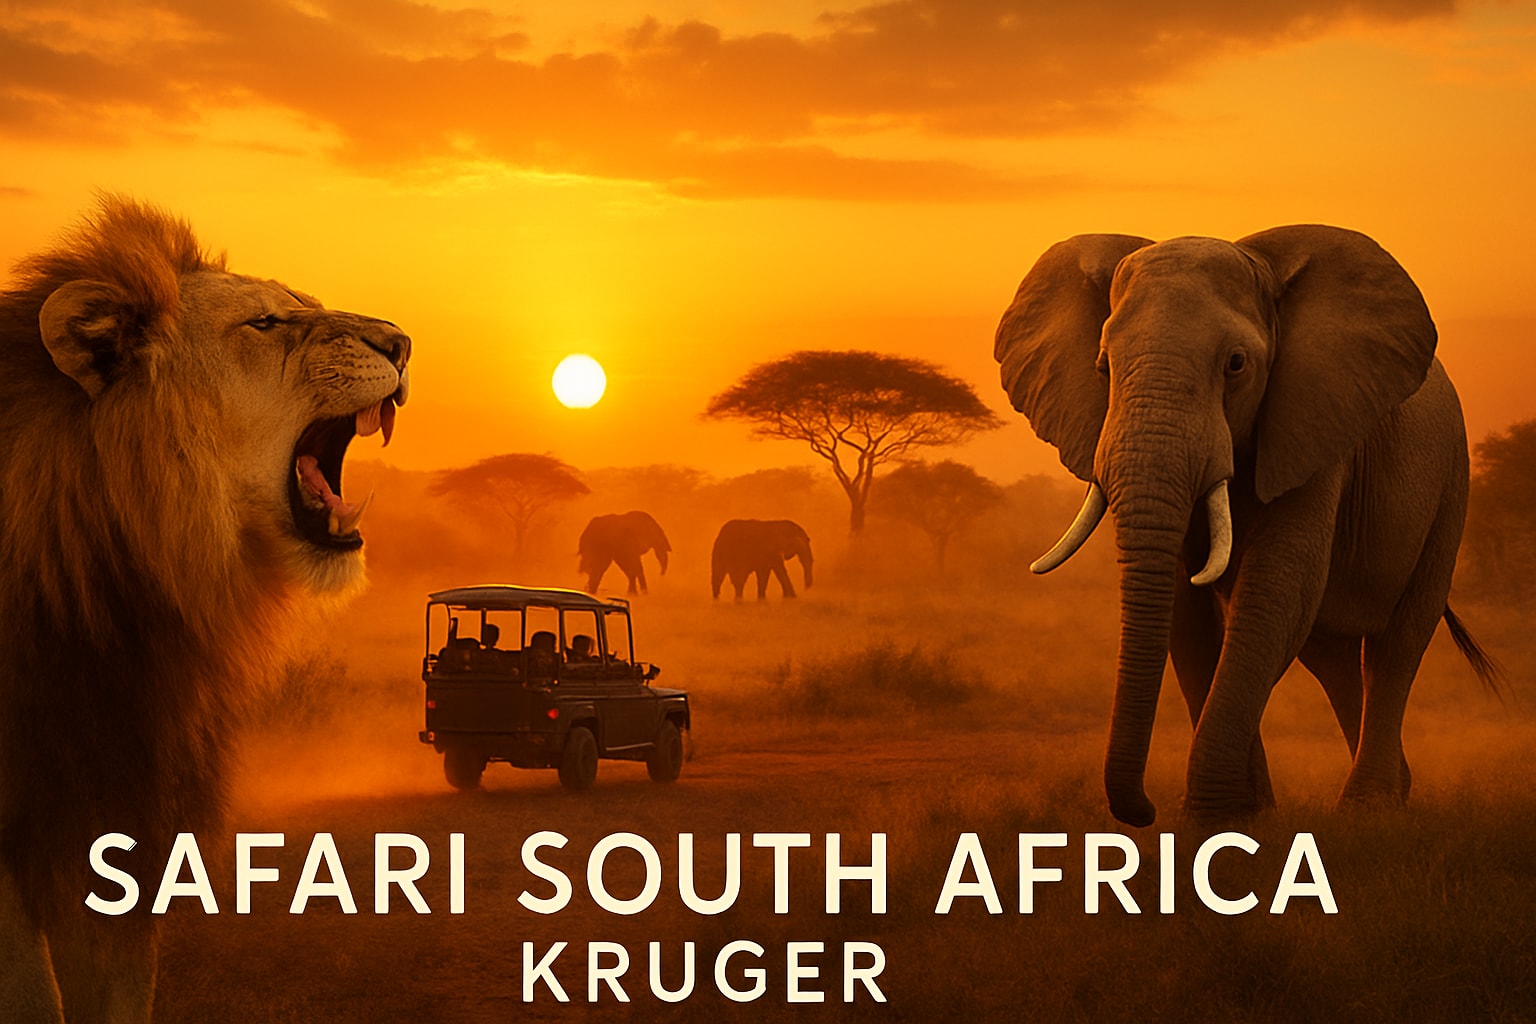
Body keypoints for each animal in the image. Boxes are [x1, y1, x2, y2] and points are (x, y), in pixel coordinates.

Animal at [994, 225, 1498, 827]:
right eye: (1103, 368)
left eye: (1236, 364)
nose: (1144, 811)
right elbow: (1190, 617)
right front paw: (1236, 818)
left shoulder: (1312, 424)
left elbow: (1274, 590)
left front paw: (1215, 817)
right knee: (1331, 659)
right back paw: (1392, 792)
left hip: (1451, 484)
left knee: (1396, 646)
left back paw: (1369, 808)